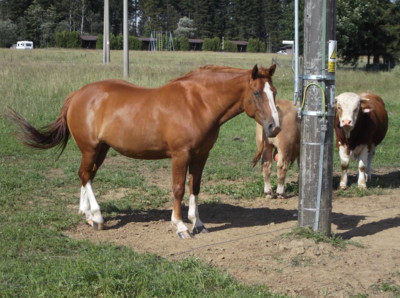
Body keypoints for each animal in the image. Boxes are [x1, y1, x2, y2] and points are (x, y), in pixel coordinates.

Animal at [9, 64, 280, 239]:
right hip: (90, 148)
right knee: (86, 175)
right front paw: (180, 226)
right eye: (257, 93)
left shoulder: (201, 155)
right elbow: (178, 188)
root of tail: (77, 94)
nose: (274, 127)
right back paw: (97, 217)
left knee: (86, 175)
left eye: (274, 93)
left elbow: (195, 187)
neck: (198, 103)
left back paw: (86, 214)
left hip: (102, 149)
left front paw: (198, 223)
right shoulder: (180, 155)